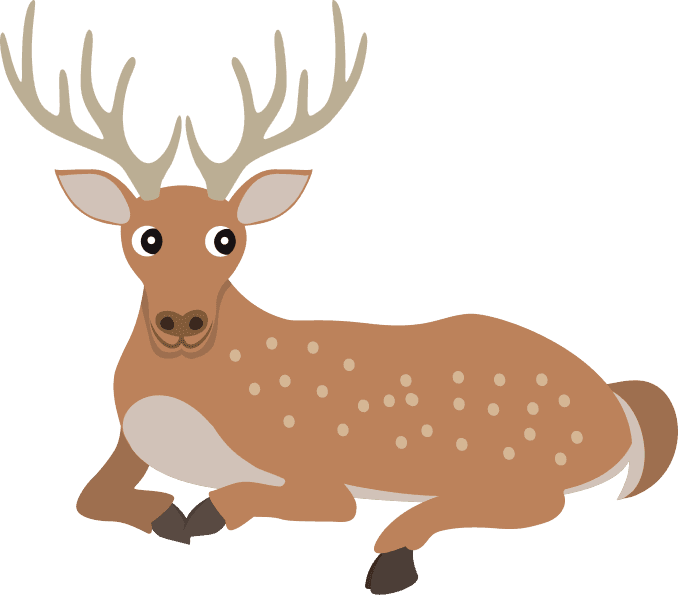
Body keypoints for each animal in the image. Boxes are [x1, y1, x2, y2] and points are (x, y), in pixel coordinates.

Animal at [2, 2, 676, 594]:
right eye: (146, 237)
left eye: (227, 238)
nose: (181, 321)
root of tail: (616, 402)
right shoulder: (124, 445)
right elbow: (87, 497)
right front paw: (167, 513)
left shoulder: (307, 461)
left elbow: (303, 502)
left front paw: (200, 515)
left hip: (519, 450)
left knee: (538, 504)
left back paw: (394, 552)